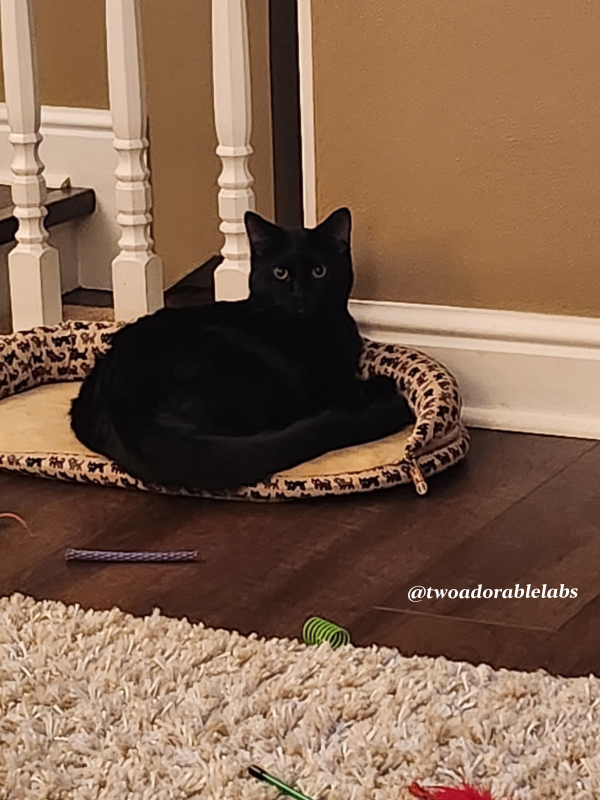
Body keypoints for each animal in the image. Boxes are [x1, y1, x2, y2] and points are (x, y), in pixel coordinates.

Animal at [70, 207, 414, 490]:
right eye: (280, 272)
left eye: (320, 271)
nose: (300, 295)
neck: (317, 328)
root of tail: (127, 418)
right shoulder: (325, 386)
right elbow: (345, 389)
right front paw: (376, 388)